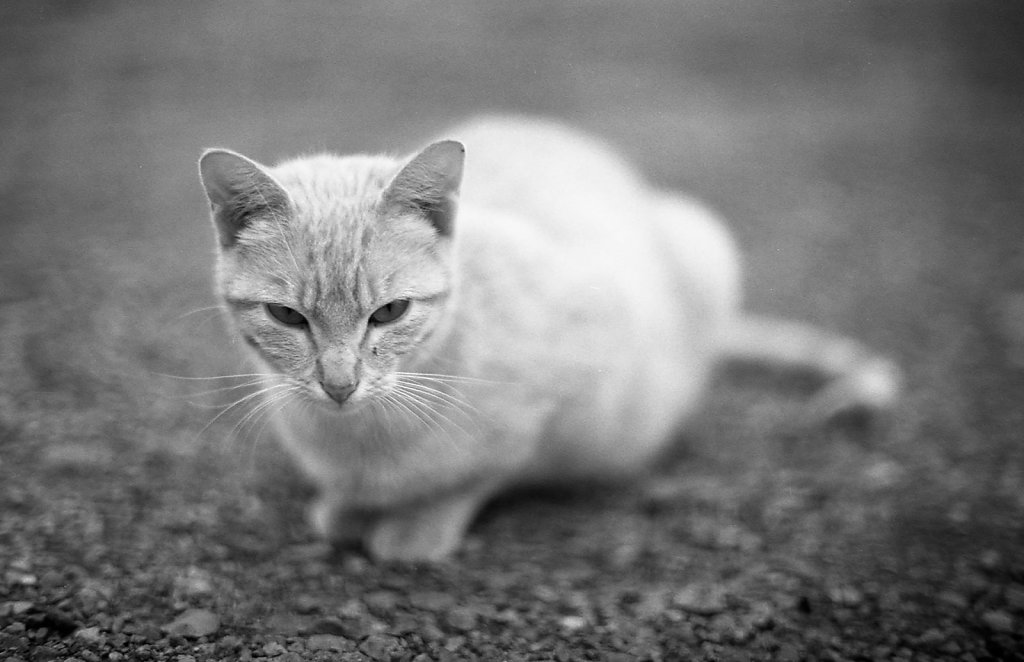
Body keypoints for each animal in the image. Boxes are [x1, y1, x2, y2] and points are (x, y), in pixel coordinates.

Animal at [195, 116, 901, 561]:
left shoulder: (579, 384)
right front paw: (345, 509)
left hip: (704, 243)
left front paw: (416, 524)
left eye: (390, 312)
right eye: (288, 318)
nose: (339, 385)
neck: (359, 438)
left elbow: (489, 469)